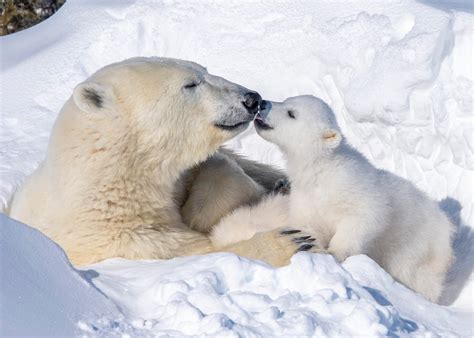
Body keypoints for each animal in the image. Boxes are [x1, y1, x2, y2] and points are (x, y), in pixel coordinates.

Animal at [8, 58, 314, 266]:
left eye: (204, 69)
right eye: (190, 84)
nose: (252, 98)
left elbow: (216, 167)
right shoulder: (132, 243)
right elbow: (202, 253)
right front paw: (287, 241)